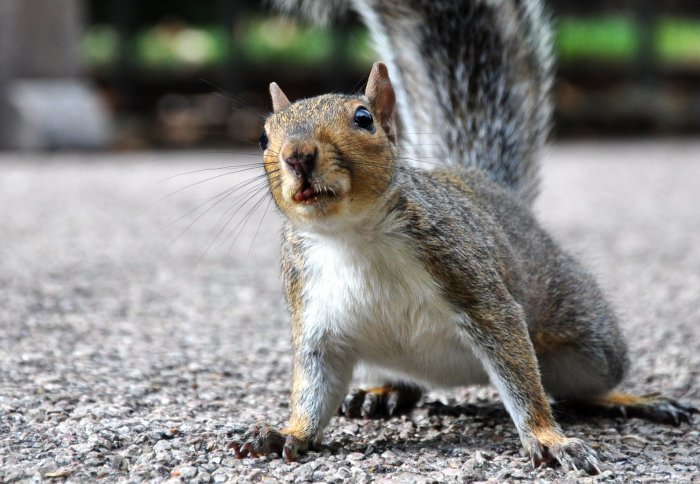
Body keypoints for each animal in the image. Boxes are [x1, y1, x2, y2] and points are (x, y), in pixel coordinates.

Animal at [232, 0, 698, 475]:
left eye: (363, 119)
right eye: (264, 136)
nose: (297, 156)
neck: (353, 236)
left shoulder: (474, 284)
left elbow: (521, 376)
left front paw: (549, 439)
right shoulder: (316, 317)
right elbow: (314, 386)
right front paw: (287, 432)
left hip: (588, 342)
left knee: (584, 386)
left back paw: (632, 398)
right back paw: (384, 392)